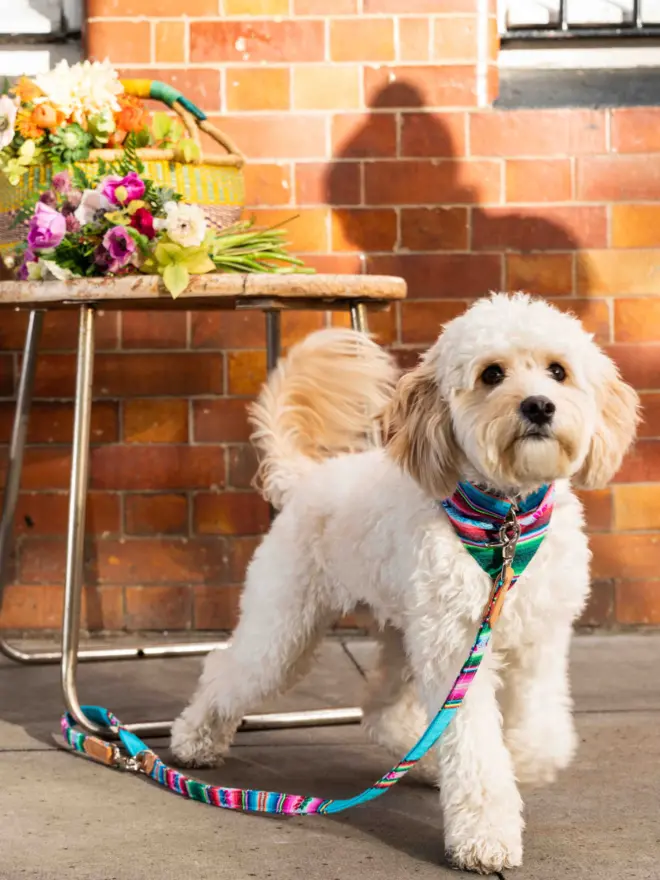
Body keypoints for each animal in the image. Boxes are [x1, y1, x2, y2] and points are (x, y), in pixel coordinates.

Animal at [171, 294, 640, 872]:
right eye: (492, 374)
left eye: (558, 371)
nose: (538, 406)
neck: (505, 521)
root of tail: (306, 479)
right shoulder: (459, 648)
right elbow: (476, 749)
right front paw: (485, 837)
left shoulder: (541, 639)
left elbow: (542, 724)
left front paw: (528, 760)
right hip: (286, 628)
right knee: (227, 669)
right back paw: (194, 741)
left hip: (405, 631)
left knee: (381, 707)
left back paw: (424, 759)